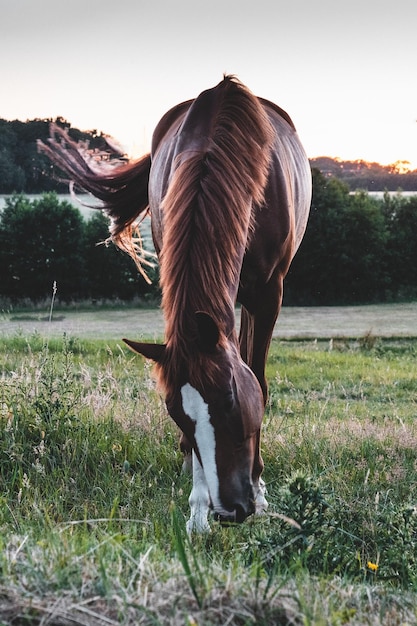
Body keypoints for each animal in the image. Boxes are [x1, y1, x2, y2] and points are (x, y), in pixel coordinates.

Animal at [39, 75, 310, 528]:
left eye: (231, 402)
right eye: (177, 414)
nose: (230, 509)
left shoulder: (269, 292)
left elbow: (258, 379)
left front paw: (259, 486)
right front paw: (198, 506)